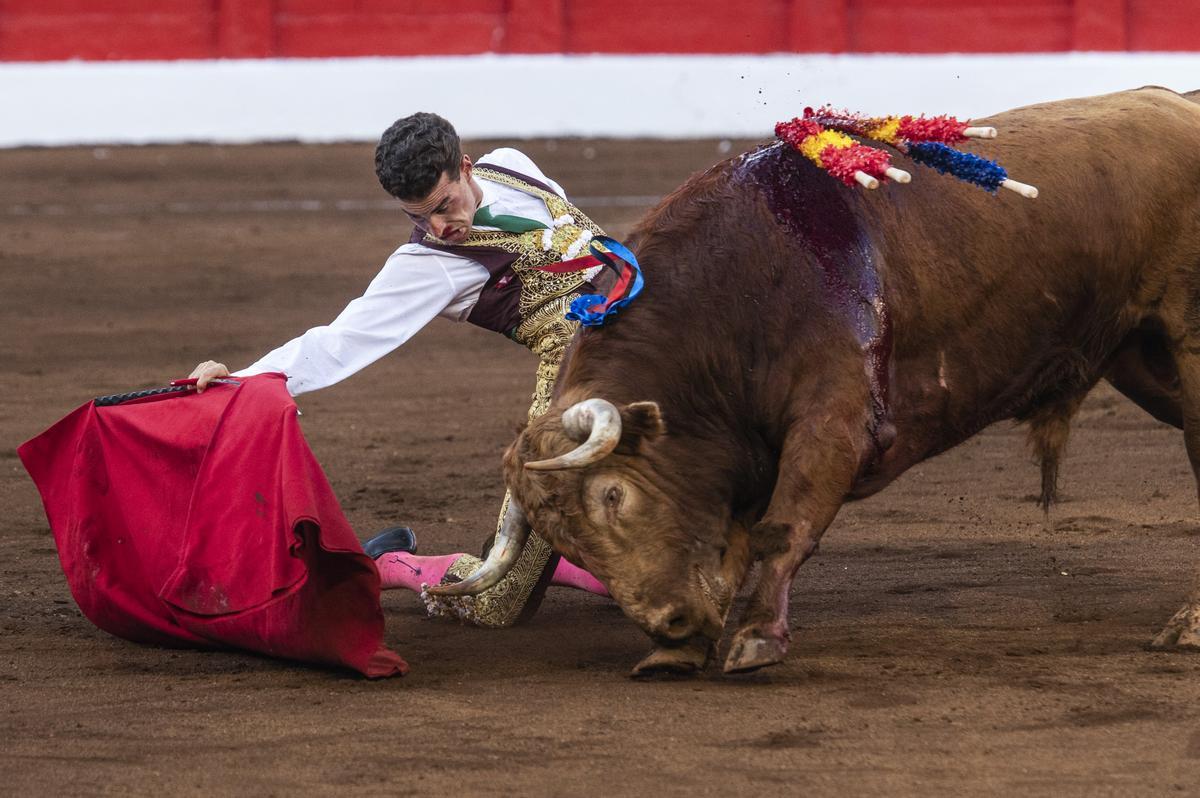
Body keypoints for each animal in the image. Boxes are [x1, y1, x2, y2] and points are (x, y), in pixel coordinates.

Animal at [432, 87, 1200, 672]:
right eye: (563, 542)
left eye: (614, 496)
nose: (671, 622)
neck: (733, 294)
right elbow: (736, 539)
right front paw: (686, 650)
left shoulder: (836, 421)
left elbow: (784, 525)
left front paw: (753, 640)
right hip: (1139, 358)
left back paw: (1186, 625)